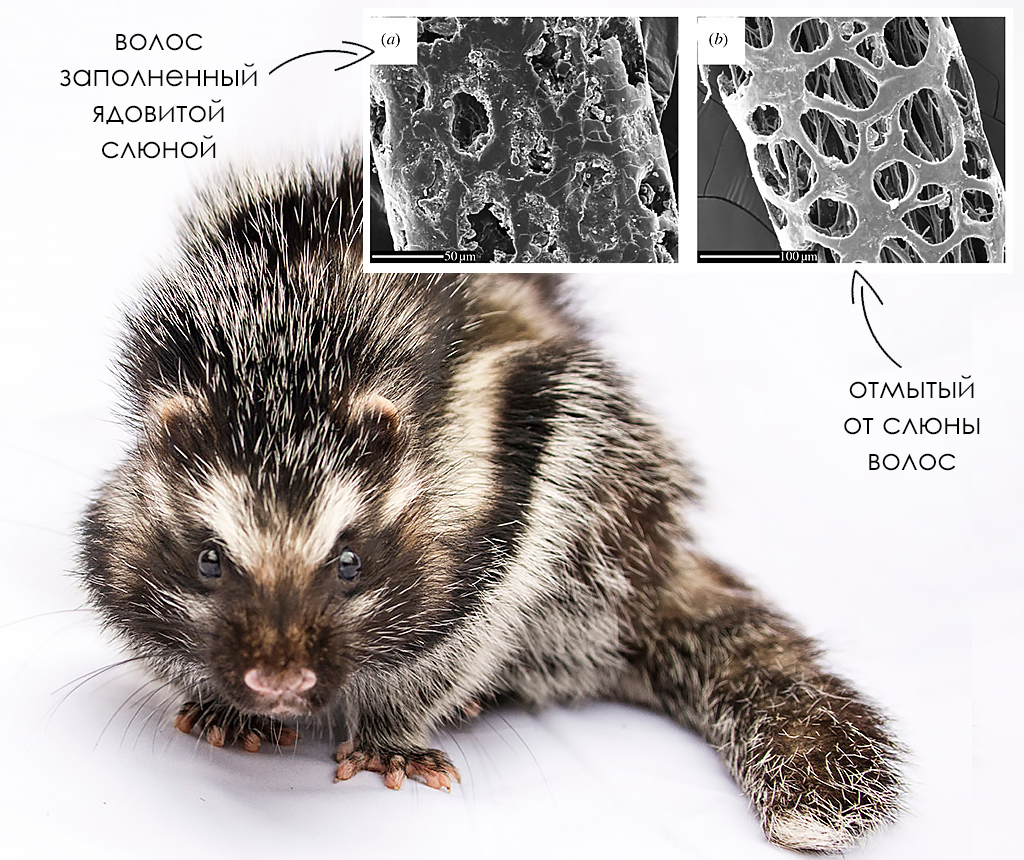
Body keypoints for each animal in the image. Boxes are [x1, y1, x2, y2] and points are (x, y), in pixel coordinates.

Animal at [78, 155, 903, 852]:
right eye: (209, 561)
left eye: (349, 563)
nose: (278, 682)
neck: (284, 354)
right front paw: (223, 706)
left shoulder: (511, 476)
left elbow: (469, 625)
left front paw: (390, 732)